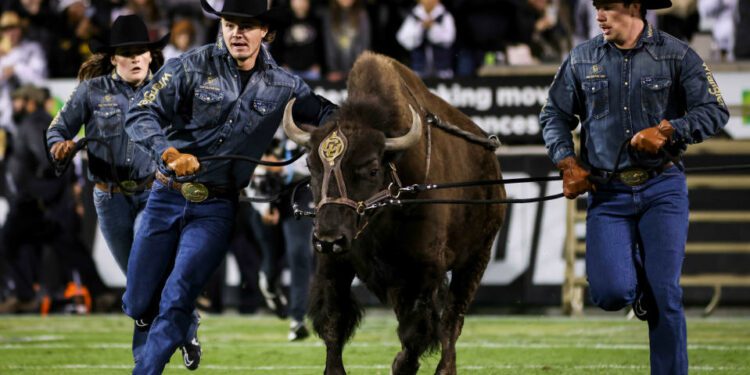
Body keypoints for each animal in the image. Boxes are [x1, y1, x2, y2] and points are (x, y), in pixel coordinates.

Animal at [284, 52, 512, 375]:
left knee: (452, 320)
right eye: (311, 166)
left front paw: (399, 363)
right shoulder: (334, 266)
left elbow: (416, 331)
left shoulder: (423, 271)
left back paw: (446, 369)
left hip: (476, 259)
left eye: (371, 169)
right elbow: (333, 323)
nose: (329, 239)